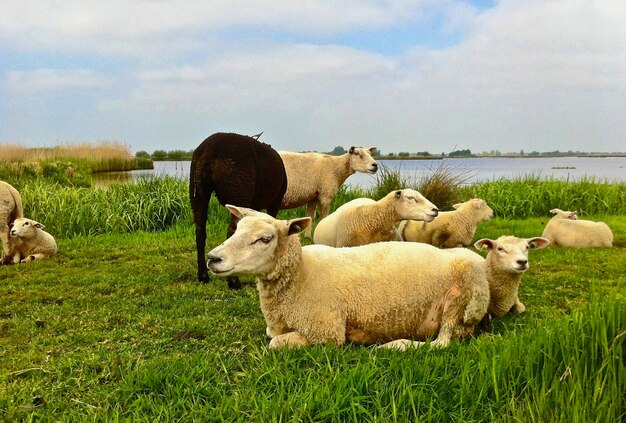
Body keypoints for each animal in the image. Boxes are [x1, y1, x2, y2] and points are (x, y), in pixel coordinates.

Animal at [190, 134, 288, 290]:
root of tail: (212, 147)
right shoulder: (275, 201)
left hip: (198, 191)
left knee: (200, 231)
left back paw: (203, 276)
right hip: (239, 191)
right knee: (231, 231)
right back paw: (233, 281)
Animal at [207, 206, 490, 352]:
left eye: (265, 239)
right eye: (237, 230)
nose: (212, 258)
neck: (302, 275)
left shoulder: (326, 331)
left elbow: (275, 343)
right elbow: (272, 335)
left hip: (461, 301)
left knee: (442, 342)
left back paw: (394, 346)